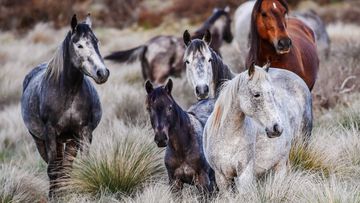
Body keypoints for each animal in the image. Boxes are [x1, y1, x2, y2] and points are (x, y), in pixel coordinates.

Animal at [20, 13, 108, 197]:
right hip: (41, 140)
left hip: (69, 140)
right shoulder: (50, 134)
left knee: (66, 167)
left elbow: (81, 165)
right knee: (56, 166)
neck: (68, 93)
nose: (102, 73)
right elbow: (53, 169)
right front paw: (53, 196)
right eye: (79, 45)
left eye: (96, 41)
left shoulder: (84, 132)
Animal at [204, 64, 314, 193]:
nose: (277, 128)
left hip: (282, 164)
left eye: (272, 93)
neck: (228, 139)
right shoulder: (221, 177)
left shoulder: (244, 175)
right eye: (256, 94)